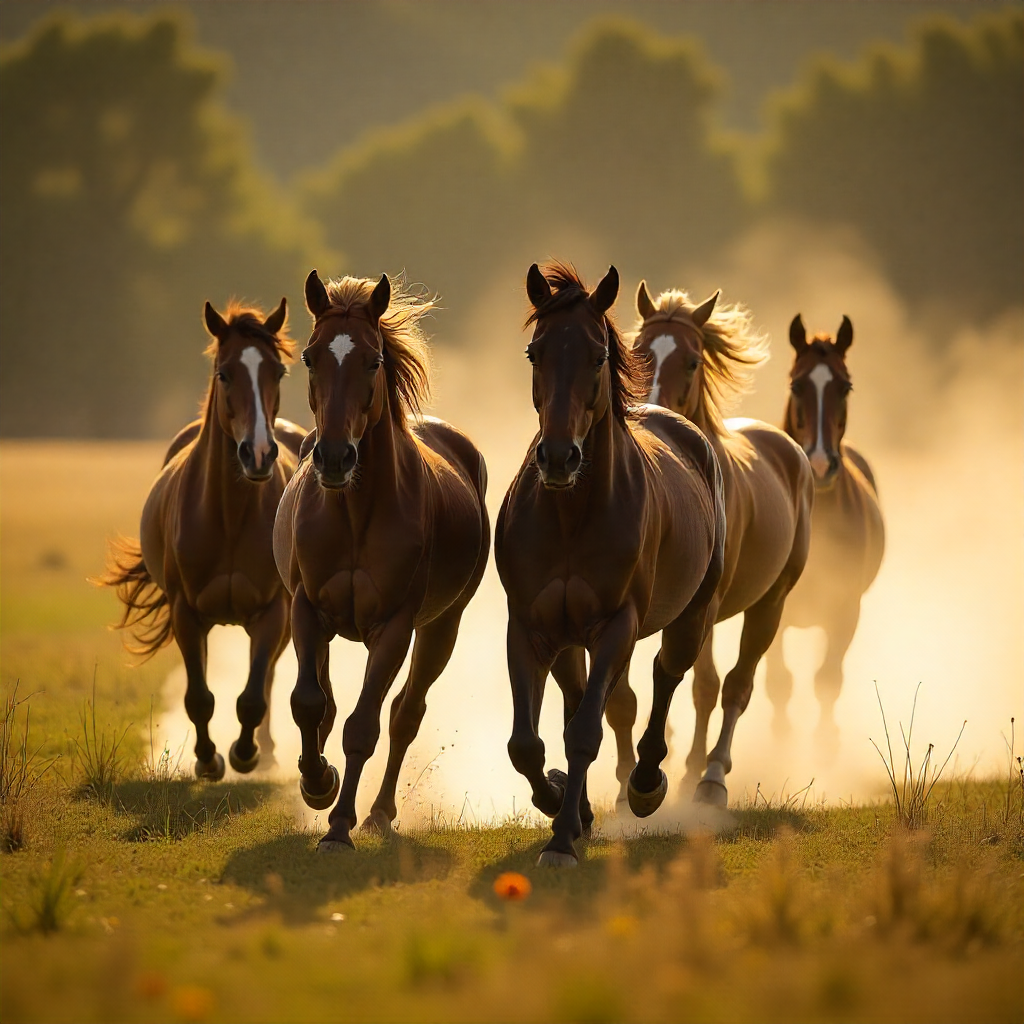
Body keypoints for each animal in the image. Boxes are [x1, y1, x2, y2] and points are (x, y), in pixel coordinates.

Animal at [97, 298, 305, 778]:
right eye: (224, 373)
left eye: (278, 372)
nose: (259, 454)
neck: (229, 517)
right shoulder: (186, 613)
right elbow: (198, 696)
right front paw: (208, 759)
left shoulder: (272, 612)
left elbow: (252, 696)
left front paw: (245, 753)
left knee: (267, 679)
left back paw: (266, 751)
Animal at [274, 270, 489, 852]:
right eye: (310, 357)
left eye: (372, 361)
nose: (333, 457)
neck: (354, 515)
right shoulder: (306, 609)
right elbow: (309, 703)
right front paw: (317, 783)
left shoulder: (394, 627)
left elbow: (365, 726)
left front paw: (339, 825)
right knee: (325, 700)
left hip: (443, 627)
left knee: (404, 715)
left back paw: (378, 813)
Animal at [495, 261, 726, 866]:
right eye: (535, 352)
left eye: (598, 355)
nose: (558, 457)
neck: (571, 515)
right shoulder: (530, 626)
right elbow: (526, 743)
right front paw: (559, 804)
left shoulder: (616, 624)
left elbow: (584, 734)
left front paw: (560, 842)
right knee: (581, 699)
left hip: (691, 614)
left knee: (667, 674)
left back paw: (645, 785)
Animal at [603, 283, 814, 807]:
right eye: (638, 350)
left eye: (693, 361)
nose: (652, 411)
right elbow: (626, 698)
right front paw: (626, 787)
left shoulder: (705, 606)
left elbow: (705, 687)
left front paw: (681, 777)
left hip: (769, 604)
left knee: (734, 686)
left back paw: (710, 776)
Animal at [764, 315, 885, 742]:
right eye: (797, 385)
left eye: (844, 386)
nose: (819, 464)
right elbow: (779, 682)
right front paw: (781, 741)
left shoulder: (845, 608)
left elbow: (827, 680)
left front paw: (824, 744)